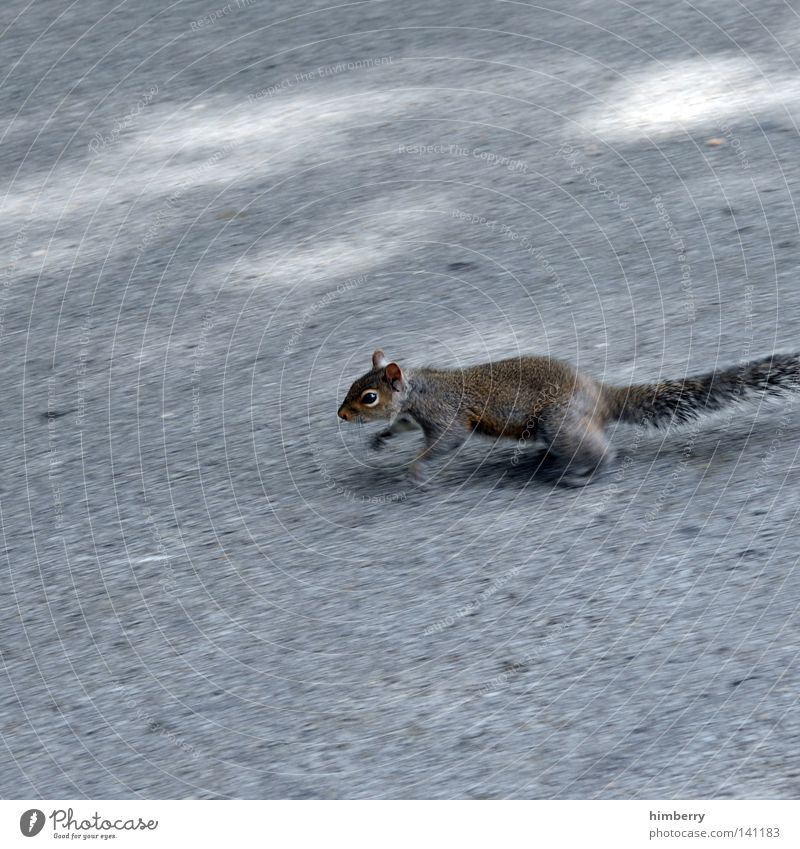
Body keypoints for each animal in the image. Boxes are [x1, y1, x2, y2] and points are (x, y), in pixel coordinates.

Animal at [336, 348, 800, 486]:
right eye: (354, 384)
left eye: (369, 397)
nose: (341, 415)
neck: (420, 389)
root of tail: (601, 396)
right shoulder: (415, 417)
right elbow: (401, 427)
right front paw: (380, 440)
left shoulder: (445, 414)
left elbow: (447, 441)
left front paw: (415, 470)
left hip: (557, 422)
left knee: (600, 451)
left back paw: (578, 473)